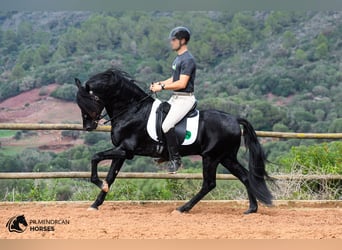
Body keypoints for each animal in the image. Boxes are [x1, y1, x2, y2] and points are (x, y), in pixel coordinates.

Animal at [75, 69, 272, 215]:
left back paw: (182, 208)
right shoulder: (122, 151)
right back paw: (252, 209)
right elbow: (111, 176)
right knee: (245, 176)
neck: (132, 110)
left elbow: (95, 156)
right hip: (226, 157)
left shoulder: (126, 150)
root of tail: (234, 119)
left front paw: (99, 184)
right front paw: (96, 202)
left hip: (211, 157)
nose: (88, 126)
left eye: (90, 100)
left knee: (209, 183)